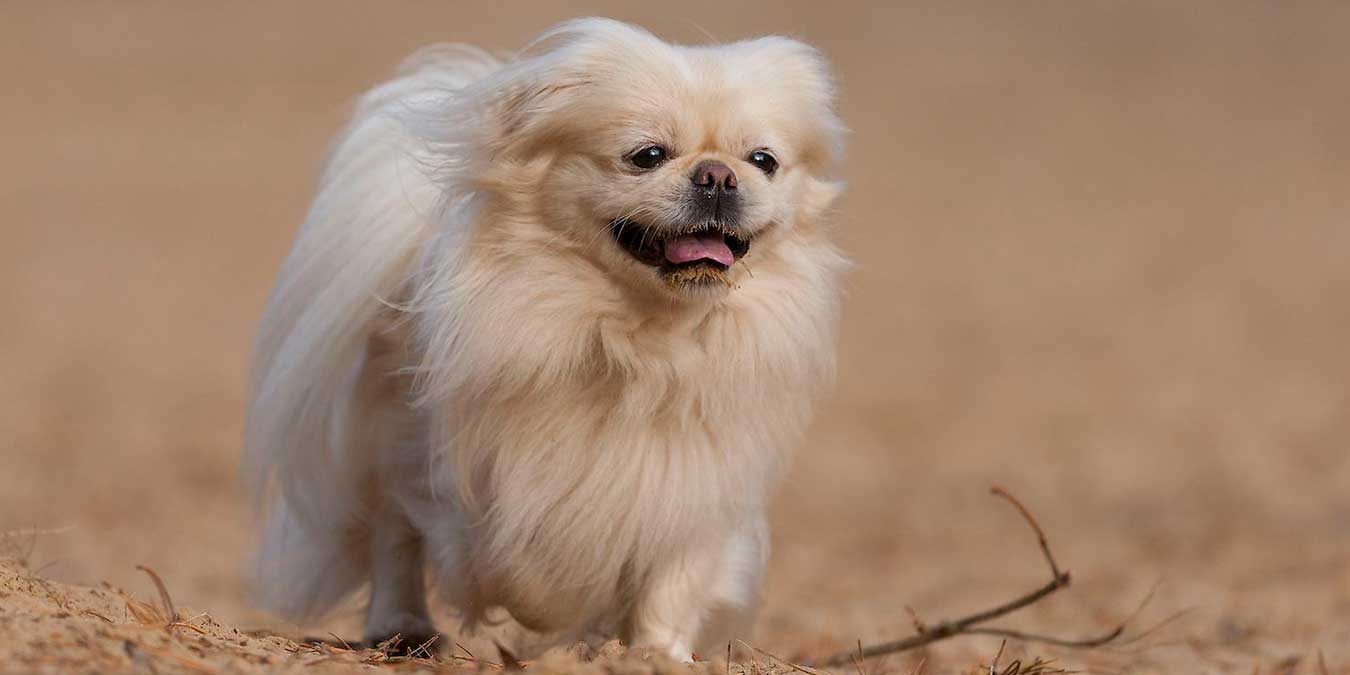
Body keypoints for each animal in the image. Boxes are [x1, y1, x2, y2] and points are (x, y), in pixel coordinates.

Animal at [243, 19, 842, 658]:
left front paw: (656, 653)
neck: (648, 340)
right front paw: (557, 613)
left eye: (763, 161)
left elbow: (674, 579)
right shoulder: (487, 477)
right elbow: (522, 563)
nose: (718, 174)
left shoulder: (697, 480)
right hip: (395, 445)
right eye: (648, 156)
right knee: (393, 539)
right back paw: (402, 628)